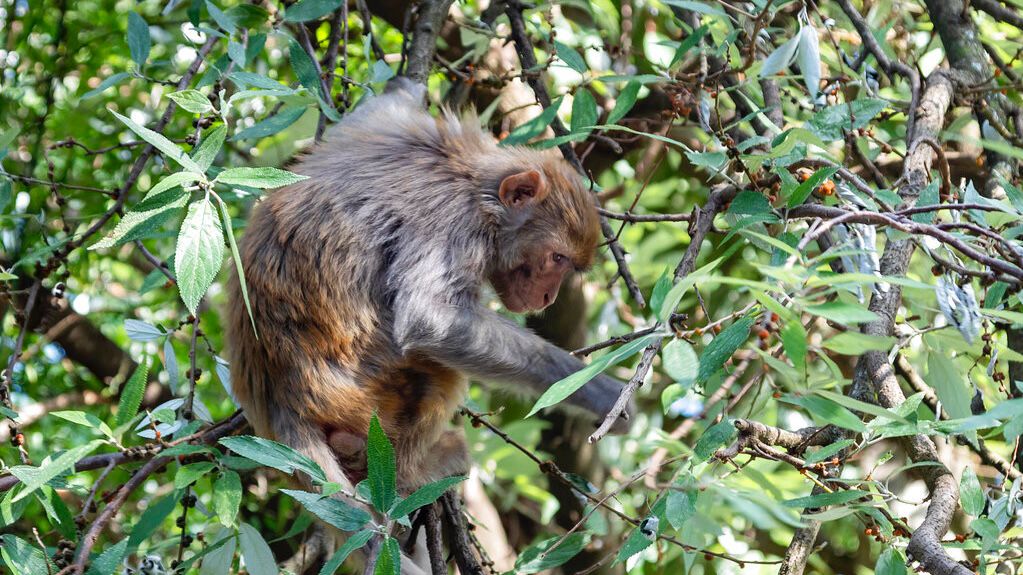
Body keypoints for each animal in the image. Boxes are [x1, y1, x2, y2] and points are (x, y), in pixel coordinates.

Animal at [226, 77, 630, 497]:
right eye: (556, 258)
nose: (548, 296)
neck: (472, 179)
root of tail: (281, 404)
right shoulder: (456, 225)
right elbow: (429, 320)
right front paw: (594, 389)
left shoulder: (387, 130)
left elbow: (373, 114)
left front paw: (405, 85)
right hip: (369, 399)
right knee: (442, 372)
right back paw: (415, 471)